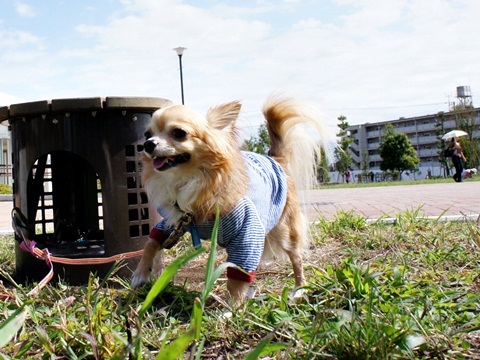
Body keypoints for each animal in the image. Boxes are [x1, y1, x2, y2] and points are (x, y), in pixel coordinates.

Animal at [133, 95, 332, 300]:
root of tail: (276, 160)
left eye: (179, 133)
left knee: (296, 259)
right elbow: (150, 242)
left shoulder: (245, 230)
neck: (189, 181)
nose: (148, 144)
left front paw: (233, 305)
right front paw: (141, 274)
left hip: (285, 229)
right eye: (147, 134)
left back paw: (299, 288)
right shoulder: (173, 222)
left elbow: (237, 275)